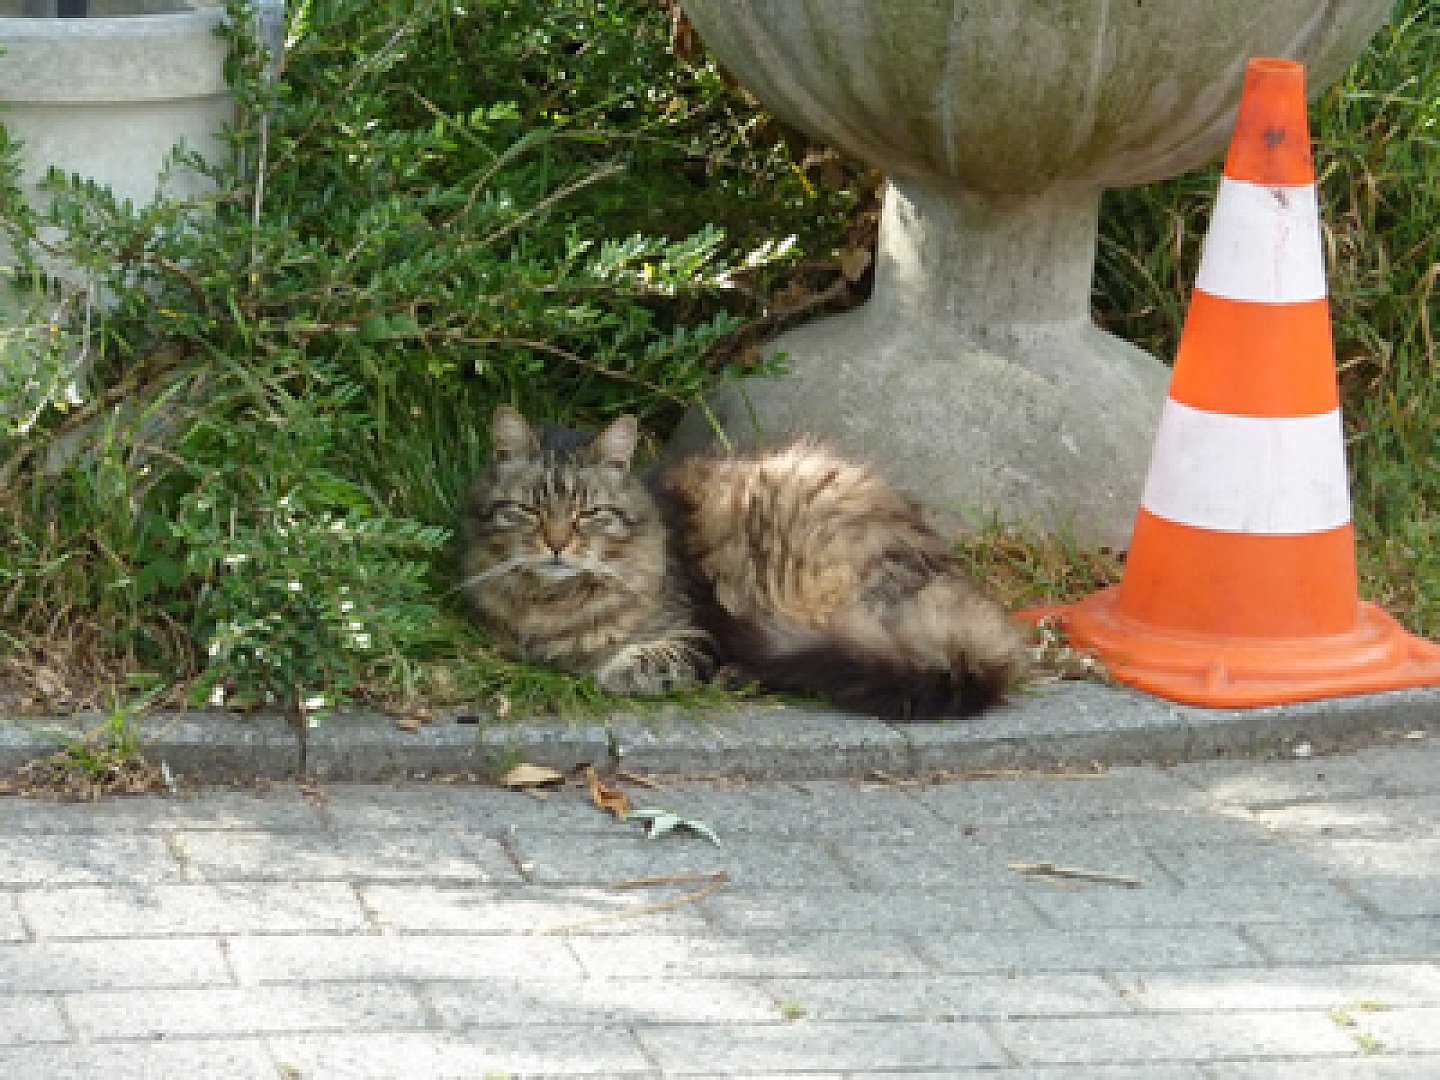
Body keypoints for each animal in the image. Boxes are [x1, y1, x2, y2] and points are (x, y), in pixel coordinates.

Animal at [460, 406, 1025, 720]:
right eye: (529, 511)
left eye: (589, 515)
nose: (556, 545)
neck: (551, 603)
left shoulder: (692, 633)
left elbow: (640, 660)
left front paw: (610, 670)